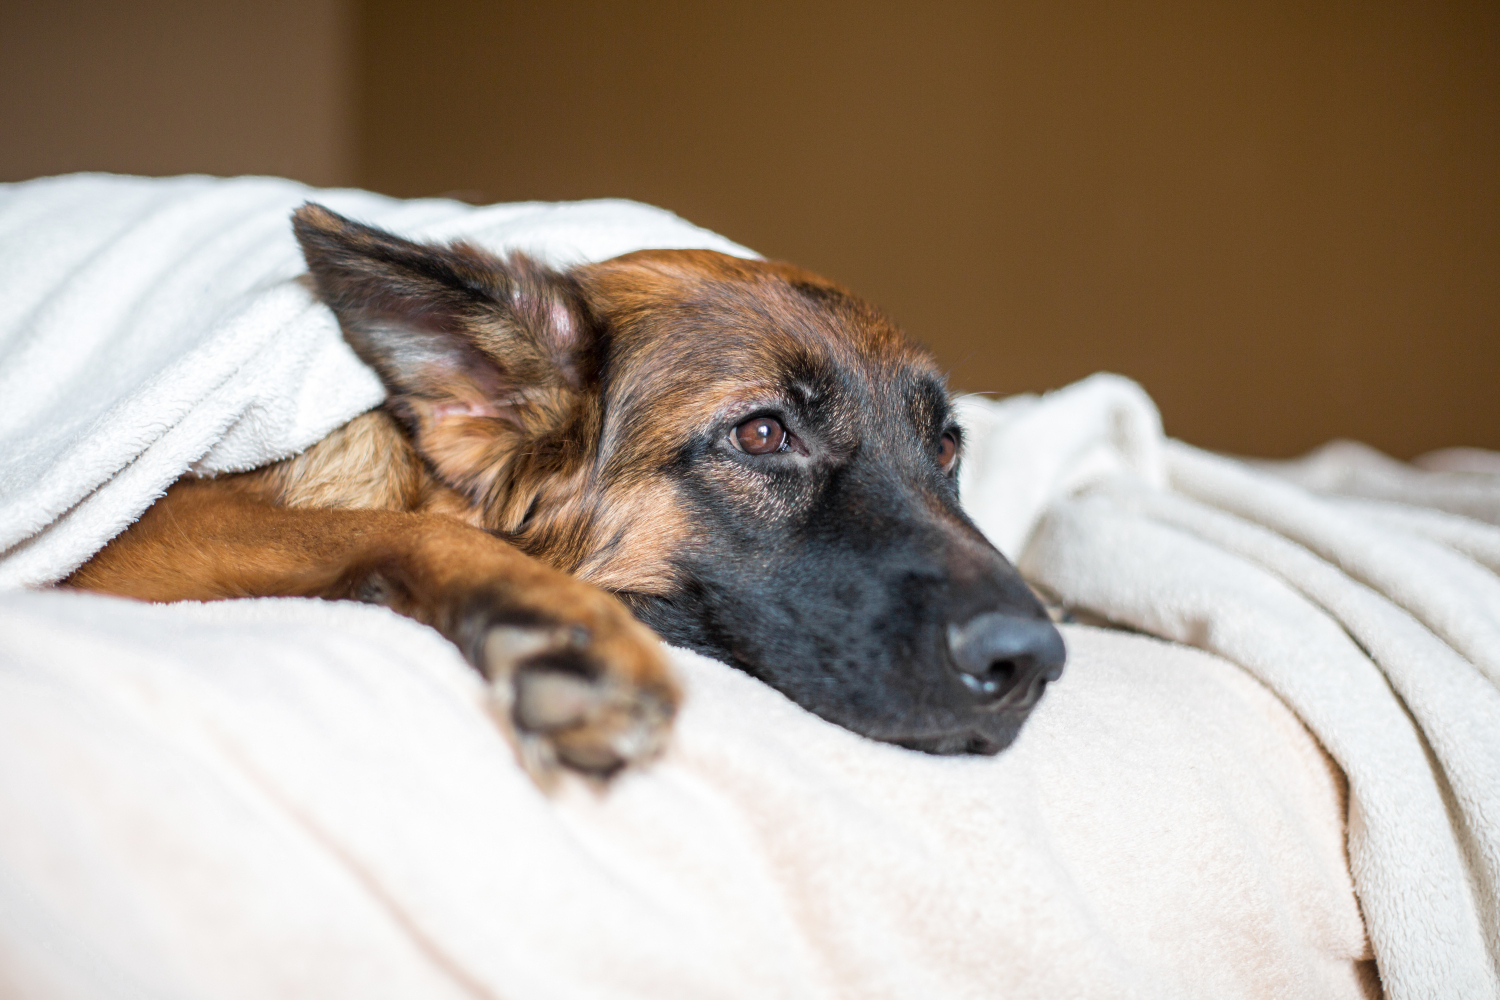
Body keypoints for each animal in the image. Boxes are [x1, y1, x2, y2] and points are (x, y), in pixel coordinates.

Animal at [64, 205, 1062, 779]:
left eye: (946, 446)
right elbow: (400, 530)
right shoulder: (145, 538)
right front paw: (559, 628)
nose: (1032, 663)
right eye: (763, 434)